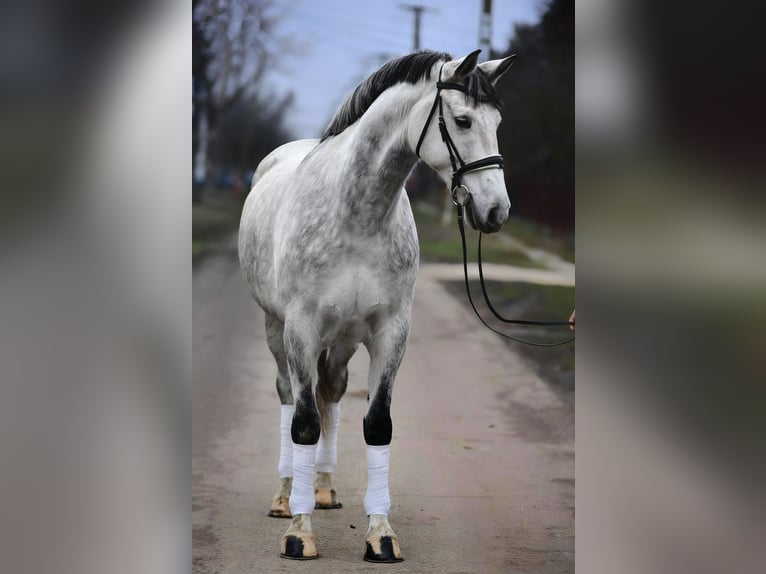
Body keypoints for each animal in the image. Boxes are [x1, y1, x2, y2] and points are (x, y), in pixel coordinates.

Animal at [238, 49, 515, 562]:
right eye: (463, 120)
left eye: (498, 122)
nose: (495, 212)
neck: (356, 215)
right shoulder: (301, 330)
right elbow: (304, 424)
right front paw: (299, 535)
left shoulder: (390, 333)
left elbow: (377, 425)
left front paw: (380, 534)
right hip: (276, 330)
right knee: (290, 397)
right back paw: (286, 499)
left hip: (344, 340)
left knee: (331, 392)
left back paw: (323, 489)